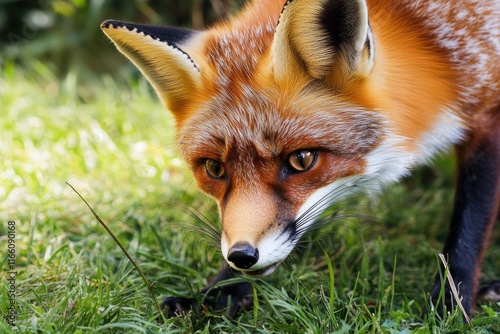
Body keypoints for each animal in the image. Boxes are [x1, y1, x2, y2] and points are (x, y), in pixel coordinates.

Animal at [101, 0, 500, 318]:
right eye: (214, 168)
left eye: (302, 160)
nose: (242, 256)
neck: (437, 43)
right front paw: (214, 293)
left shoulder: (487, 116)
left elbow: (467, 226)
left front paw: (451, 302)